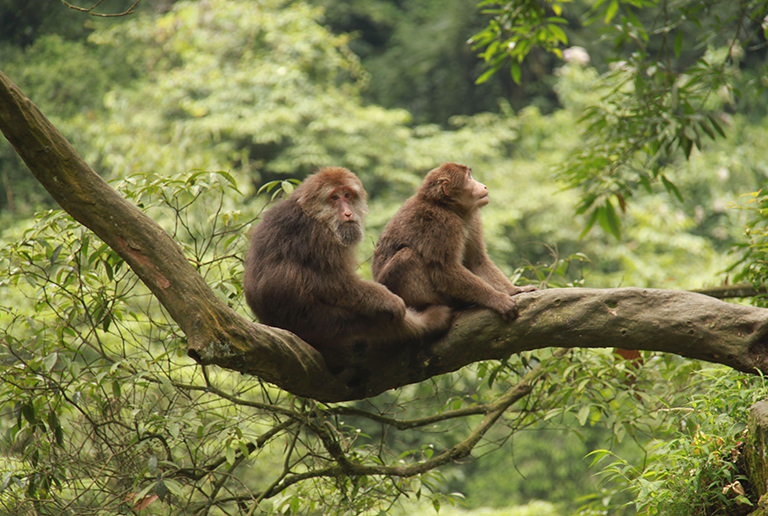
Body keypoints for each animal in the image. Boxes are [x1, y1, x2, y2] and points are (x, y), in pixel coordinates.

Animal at [244, 166, 450, 378]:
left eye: (348, 195)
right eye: (334, 198)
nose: (348, 213)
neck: (315, 216)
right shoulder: (321, 237)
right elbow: (335, 283)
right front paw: (389, 300)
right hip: (314, 321)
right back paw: (430, 321)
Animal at [372, 163, 536, 318]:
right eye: (469, 178)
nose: (483, 185)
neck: (445, 206)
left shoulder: (473, 219)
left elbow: (477, 260)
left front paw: (515, 290)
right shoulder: (443, 224)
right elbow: (445, 270)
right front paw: (497, 299)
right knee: (407, 255)